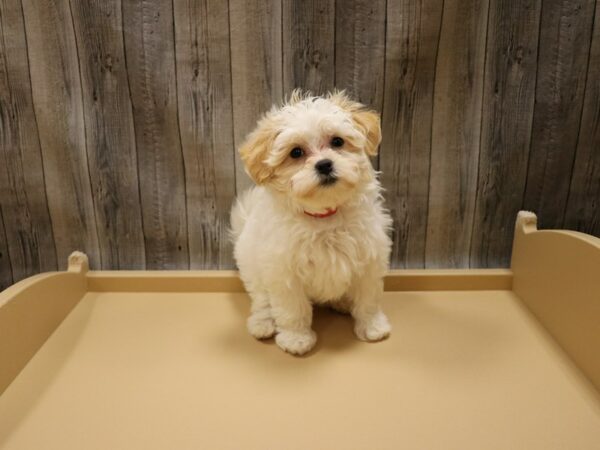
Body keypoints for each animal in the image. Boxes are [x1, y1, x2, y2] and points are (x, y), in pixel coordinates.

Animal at [230, 90, 394, 356]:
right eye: (296, 153)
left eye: (337, 141)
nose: (324, 164)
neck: (324, 216)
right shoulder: (284, 272)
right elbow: (292, 309)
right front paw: (296, 339)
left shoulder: (369, 259)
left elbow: (368, 297)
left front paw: (372, 326)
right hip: (253, 268)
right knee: (261, 300)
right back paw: (262, 323)